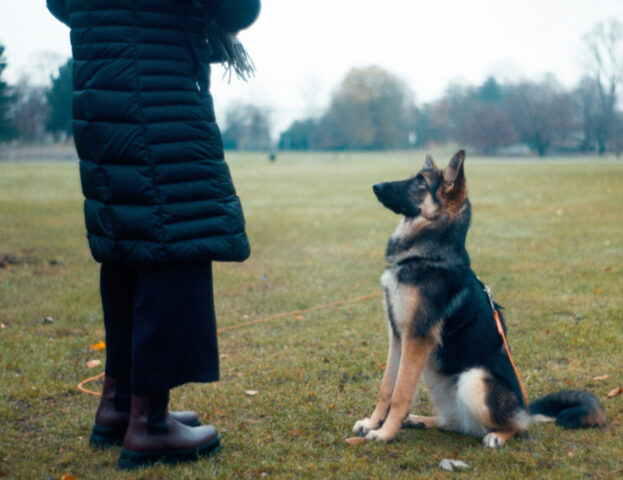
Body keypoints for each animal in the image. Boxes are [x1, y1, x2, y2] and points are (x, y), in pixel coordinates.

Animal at [354, 152, 608, 448]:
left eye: (420, 181)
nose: (375, 186)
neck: (428, 255)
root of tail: (524, 409)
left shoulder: (416, 339)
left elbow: (400, 394)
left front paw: (384, 433)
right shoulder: (398, 336)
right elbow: (386, 387)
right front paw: (372, 423)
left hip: (473, 379)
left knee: (517, 427)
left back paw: (498, 435)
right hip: (435, 376)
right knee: (454, 423)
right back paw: (419, 420)